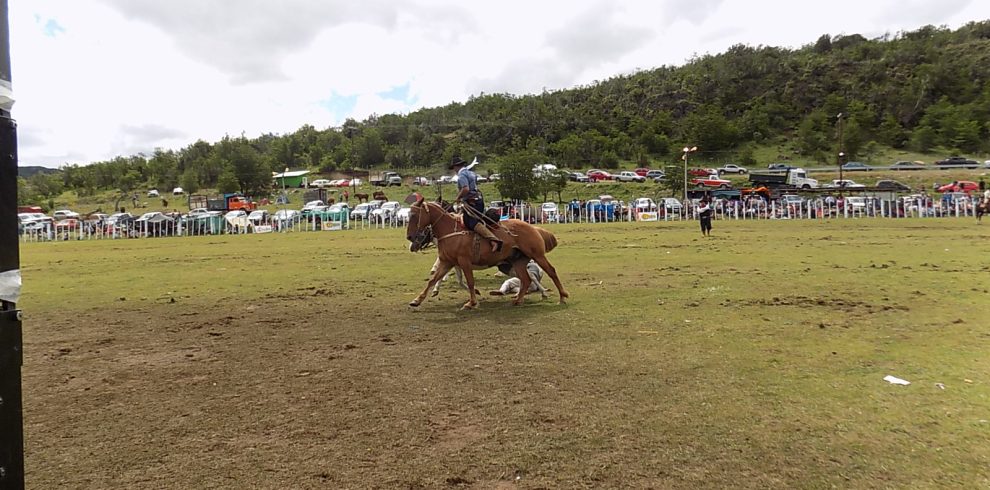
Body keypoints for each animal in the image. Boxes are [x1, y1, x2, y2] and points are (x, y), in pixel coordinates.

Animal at [406, 198, 568, 306]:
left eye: (414, 215)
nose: (410, 238)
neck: (450, 230)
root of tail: (534, 228)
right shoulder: (447, 262)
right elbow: (433, 280)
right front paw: (417, 300)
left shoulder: (464, 262)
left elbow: (469, 282)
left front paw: (472, 302)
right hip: (517, 262)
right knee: (526, 279)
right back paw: (517, 300)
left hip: (537, 255)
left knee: (550, 271)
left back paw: (562, 296)